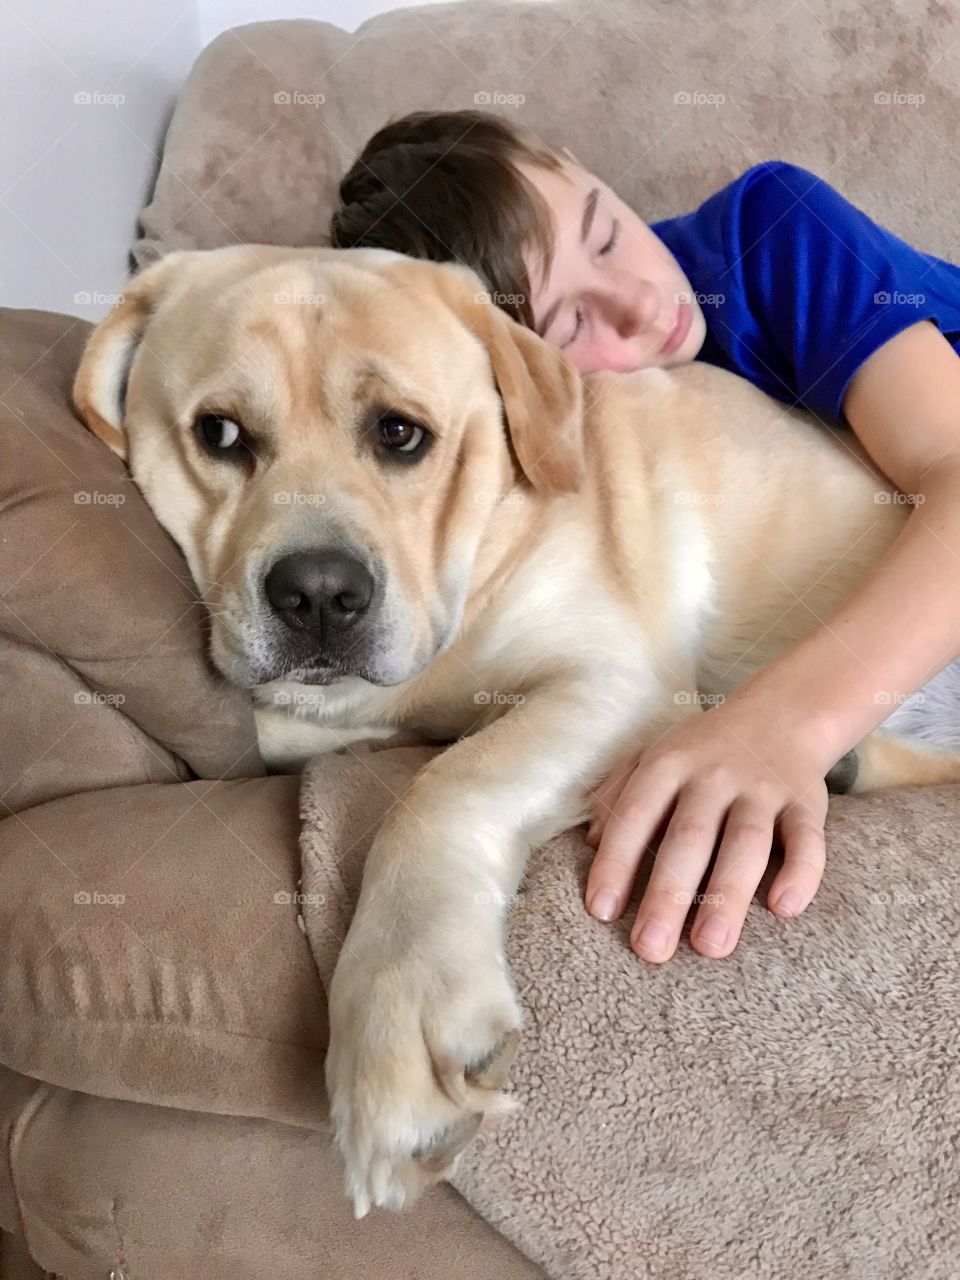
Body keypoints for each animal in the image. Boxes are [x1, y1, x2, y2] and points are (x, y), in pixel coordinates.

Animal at [71, 241, 960, 1218]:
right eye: (221, 436)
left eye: (400, 434)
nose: (319, 595)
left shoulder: (623, 683)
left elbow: (445, 784)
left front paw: (402, 1010)